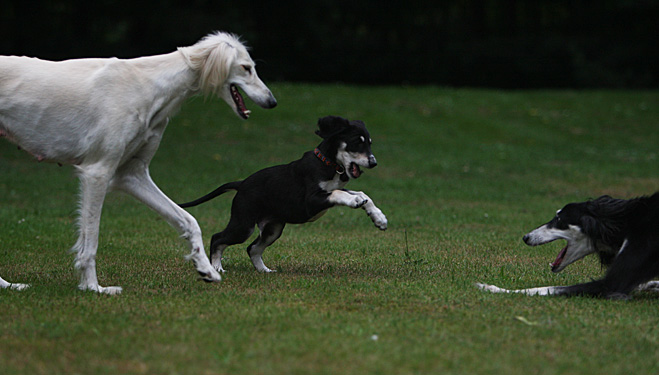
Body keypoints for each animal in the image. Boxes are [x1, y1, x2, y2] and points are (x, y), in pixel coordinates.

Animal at [0, 32, 278, 296]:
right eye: (246, 67)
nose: (272, 101)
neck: (151, 84)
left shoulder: (132, 175)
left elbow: (189, 220)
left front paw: (205, 268)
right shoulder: (97, 171)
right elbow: (91, 242)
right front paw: (93, 287)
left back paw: (9, 285)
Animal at [178, 116, 390, 274]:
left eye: (369, 143)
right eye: (356, 143)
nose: (373, 163)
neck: (328, 163)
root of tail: (242, 184)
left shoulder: (328, 192)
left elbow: (361, 194)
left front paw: (378, 218)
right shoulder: (311, 200)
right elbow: (339, 193)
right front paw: (355, 201)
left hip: (273, 228)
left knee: (252, 248)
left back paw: (264, 270)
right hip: (243, 225)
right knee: (217, 239)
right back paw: (216, 267)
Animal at [480, 194, 659, 300]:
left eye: (559, 219)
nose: (525, 238)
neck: (627, 222)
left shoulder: (611, 284)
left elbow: (547, 288)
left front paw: (494, 288)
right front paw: (650, 285)